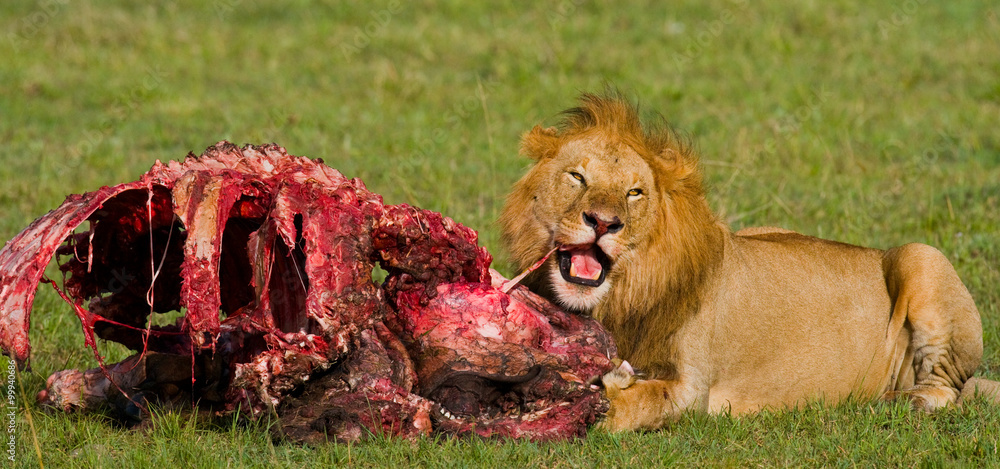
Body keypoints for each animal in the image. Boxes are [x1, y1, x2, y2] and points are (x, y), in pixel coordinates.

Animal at [498, 91, 988, 432]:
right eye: (577, 176)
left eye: (634, 192)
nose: (603, 222)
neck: (619, 298)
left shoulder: (691, 389)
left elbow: (634, 404)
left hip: (922, 256)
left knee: (944, 387)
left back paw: (896, 401)